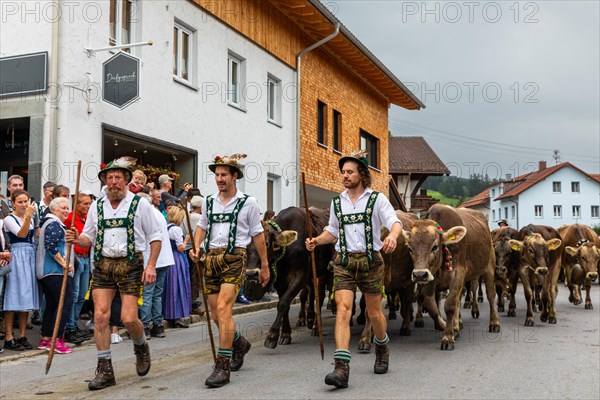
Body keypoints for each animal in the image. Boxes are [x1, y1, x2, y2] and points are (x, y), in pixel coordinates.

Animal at [406, 205, 500, 352]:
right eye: (410, 248)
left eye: (435, 246)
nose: (420, 274)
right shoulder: (429, 281)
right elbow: (431, 306)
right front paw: (446, 326)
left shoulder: (457, 274)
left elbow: (450, 305)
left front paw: (448, 338)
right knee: (458, 300)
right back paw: (457, 325)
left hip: (489, 265)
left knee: (490, 294)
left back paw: (494, 323)